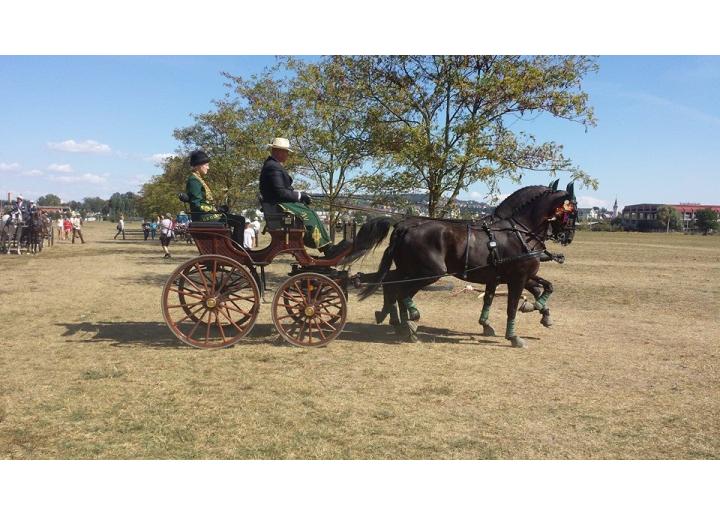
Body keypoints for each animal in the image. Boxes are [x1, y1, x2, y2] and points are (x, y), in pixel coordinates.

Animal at [344, 182, 580, 346]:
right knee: (401, 291)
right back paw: (409, 322)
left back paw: (399, 322)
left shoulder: (508, 276)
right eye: (573, 211)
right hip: (429, 273)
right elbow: (512, 306)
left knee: (393, 286)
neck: (519, 231)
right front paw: (514, 335)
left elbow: (542, 288)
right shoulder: (518, 277)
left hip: (409, 270)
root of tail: (405, 225)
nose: (568, 237)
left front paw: (539, 312)